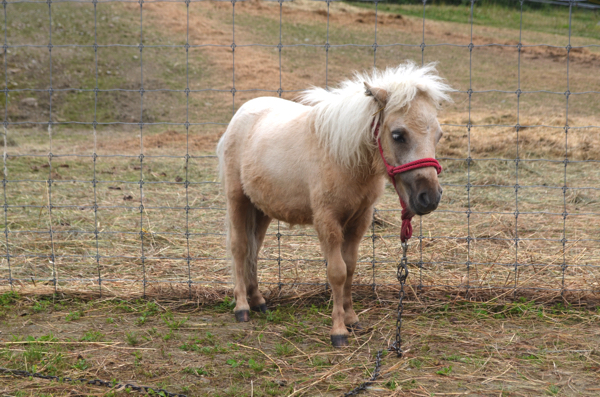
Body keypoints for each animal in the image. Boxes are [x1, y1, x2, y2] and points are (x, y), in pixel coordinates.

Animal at [218, 62, 452, 346]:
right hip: (237, 199)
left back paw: (258, 301)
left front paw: (352, 319)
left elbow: (350, 268)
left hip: (261, 209)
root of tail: (242, 113)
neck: (344, 158)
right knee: (240, 248)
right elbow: (337, 272)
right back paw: (242, 307)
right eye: (398, 135)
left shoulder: (359, 219)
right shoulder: (327, 220)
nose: (429, 197)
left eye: (438, 135)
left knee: (254, 249)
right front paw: (338, 331)